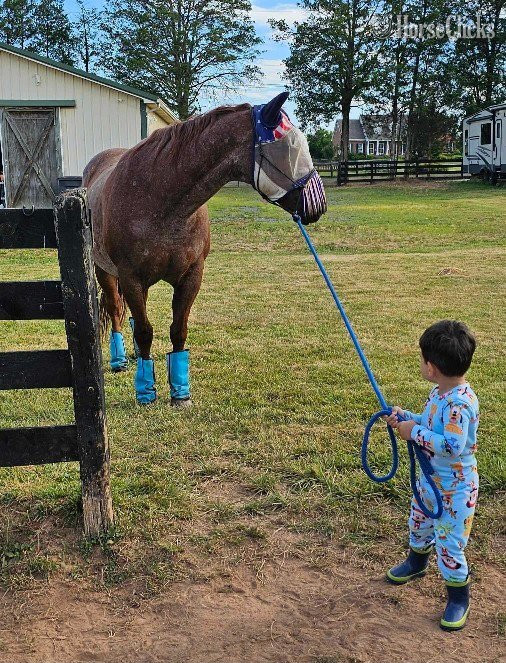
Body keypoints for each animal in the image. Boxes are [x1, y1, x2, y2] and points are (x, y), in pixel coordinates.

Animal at [83, 92, 327, 405]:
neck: (160, 200)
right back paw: (120, 361)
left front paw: (180, 392)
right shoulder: (131, 278)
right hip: (105, 272)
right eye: (291, 147)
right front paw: (146, 391)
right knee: (116, 311)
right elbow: (147, 331)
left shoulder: (191, 276)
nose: (318, 204)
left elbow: (178, 330)